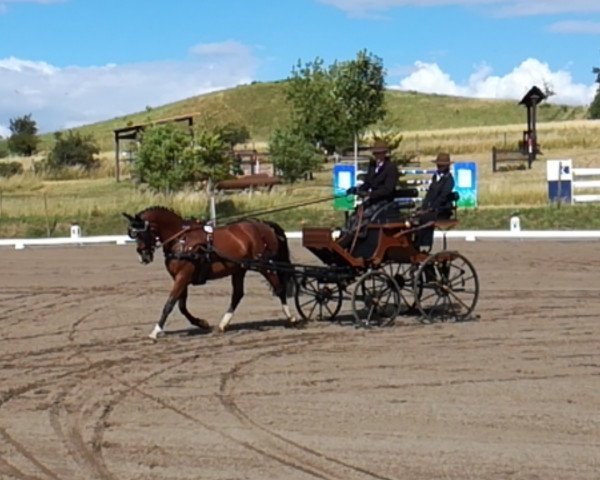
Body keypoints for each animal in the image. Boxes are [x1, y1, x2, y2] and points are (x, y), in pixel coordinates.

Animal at [122, 205, 298, 338]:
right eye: (134, 235)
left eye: (142, 233)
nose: (144, 257)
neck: (181, 240)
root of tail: (263, 225)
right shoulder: (181, 278)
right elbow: (181, 306)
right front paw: (202, 323)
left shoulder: (183, 276)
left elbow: (170, 303)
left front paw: (156, 331)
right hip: (239, 268)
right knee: (237, 294)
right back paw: (222, 324)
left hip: (264, 265)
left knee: (279, 288)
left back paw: (291, 318)